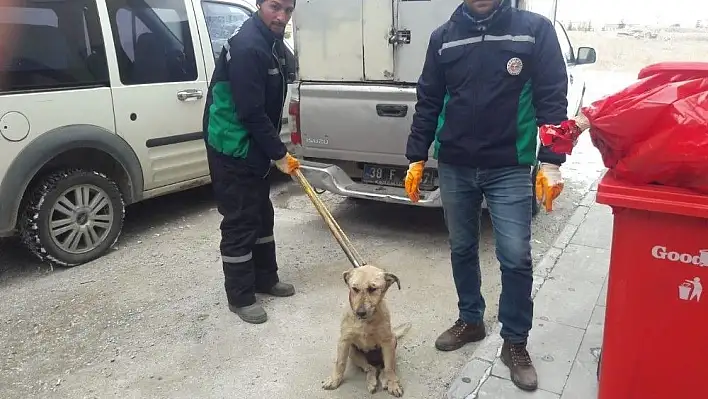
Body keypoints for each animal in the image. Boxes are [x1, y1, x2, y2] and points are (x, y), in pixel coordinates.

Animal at [320, 266, 410, 396]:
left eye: (373, 289)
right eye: (355, 289)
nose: (360, 313)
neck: (366, 322)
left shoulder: (387, 342)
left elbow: (389, 368)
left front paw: (393, 384)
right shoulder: (344, 341)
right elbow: (340, 363)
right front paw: (334, 380)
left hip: (392, 344)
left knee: (384, 368)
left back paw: (385, 380)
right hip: (353, 352)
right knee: (371, 368)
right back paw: (372, 382)